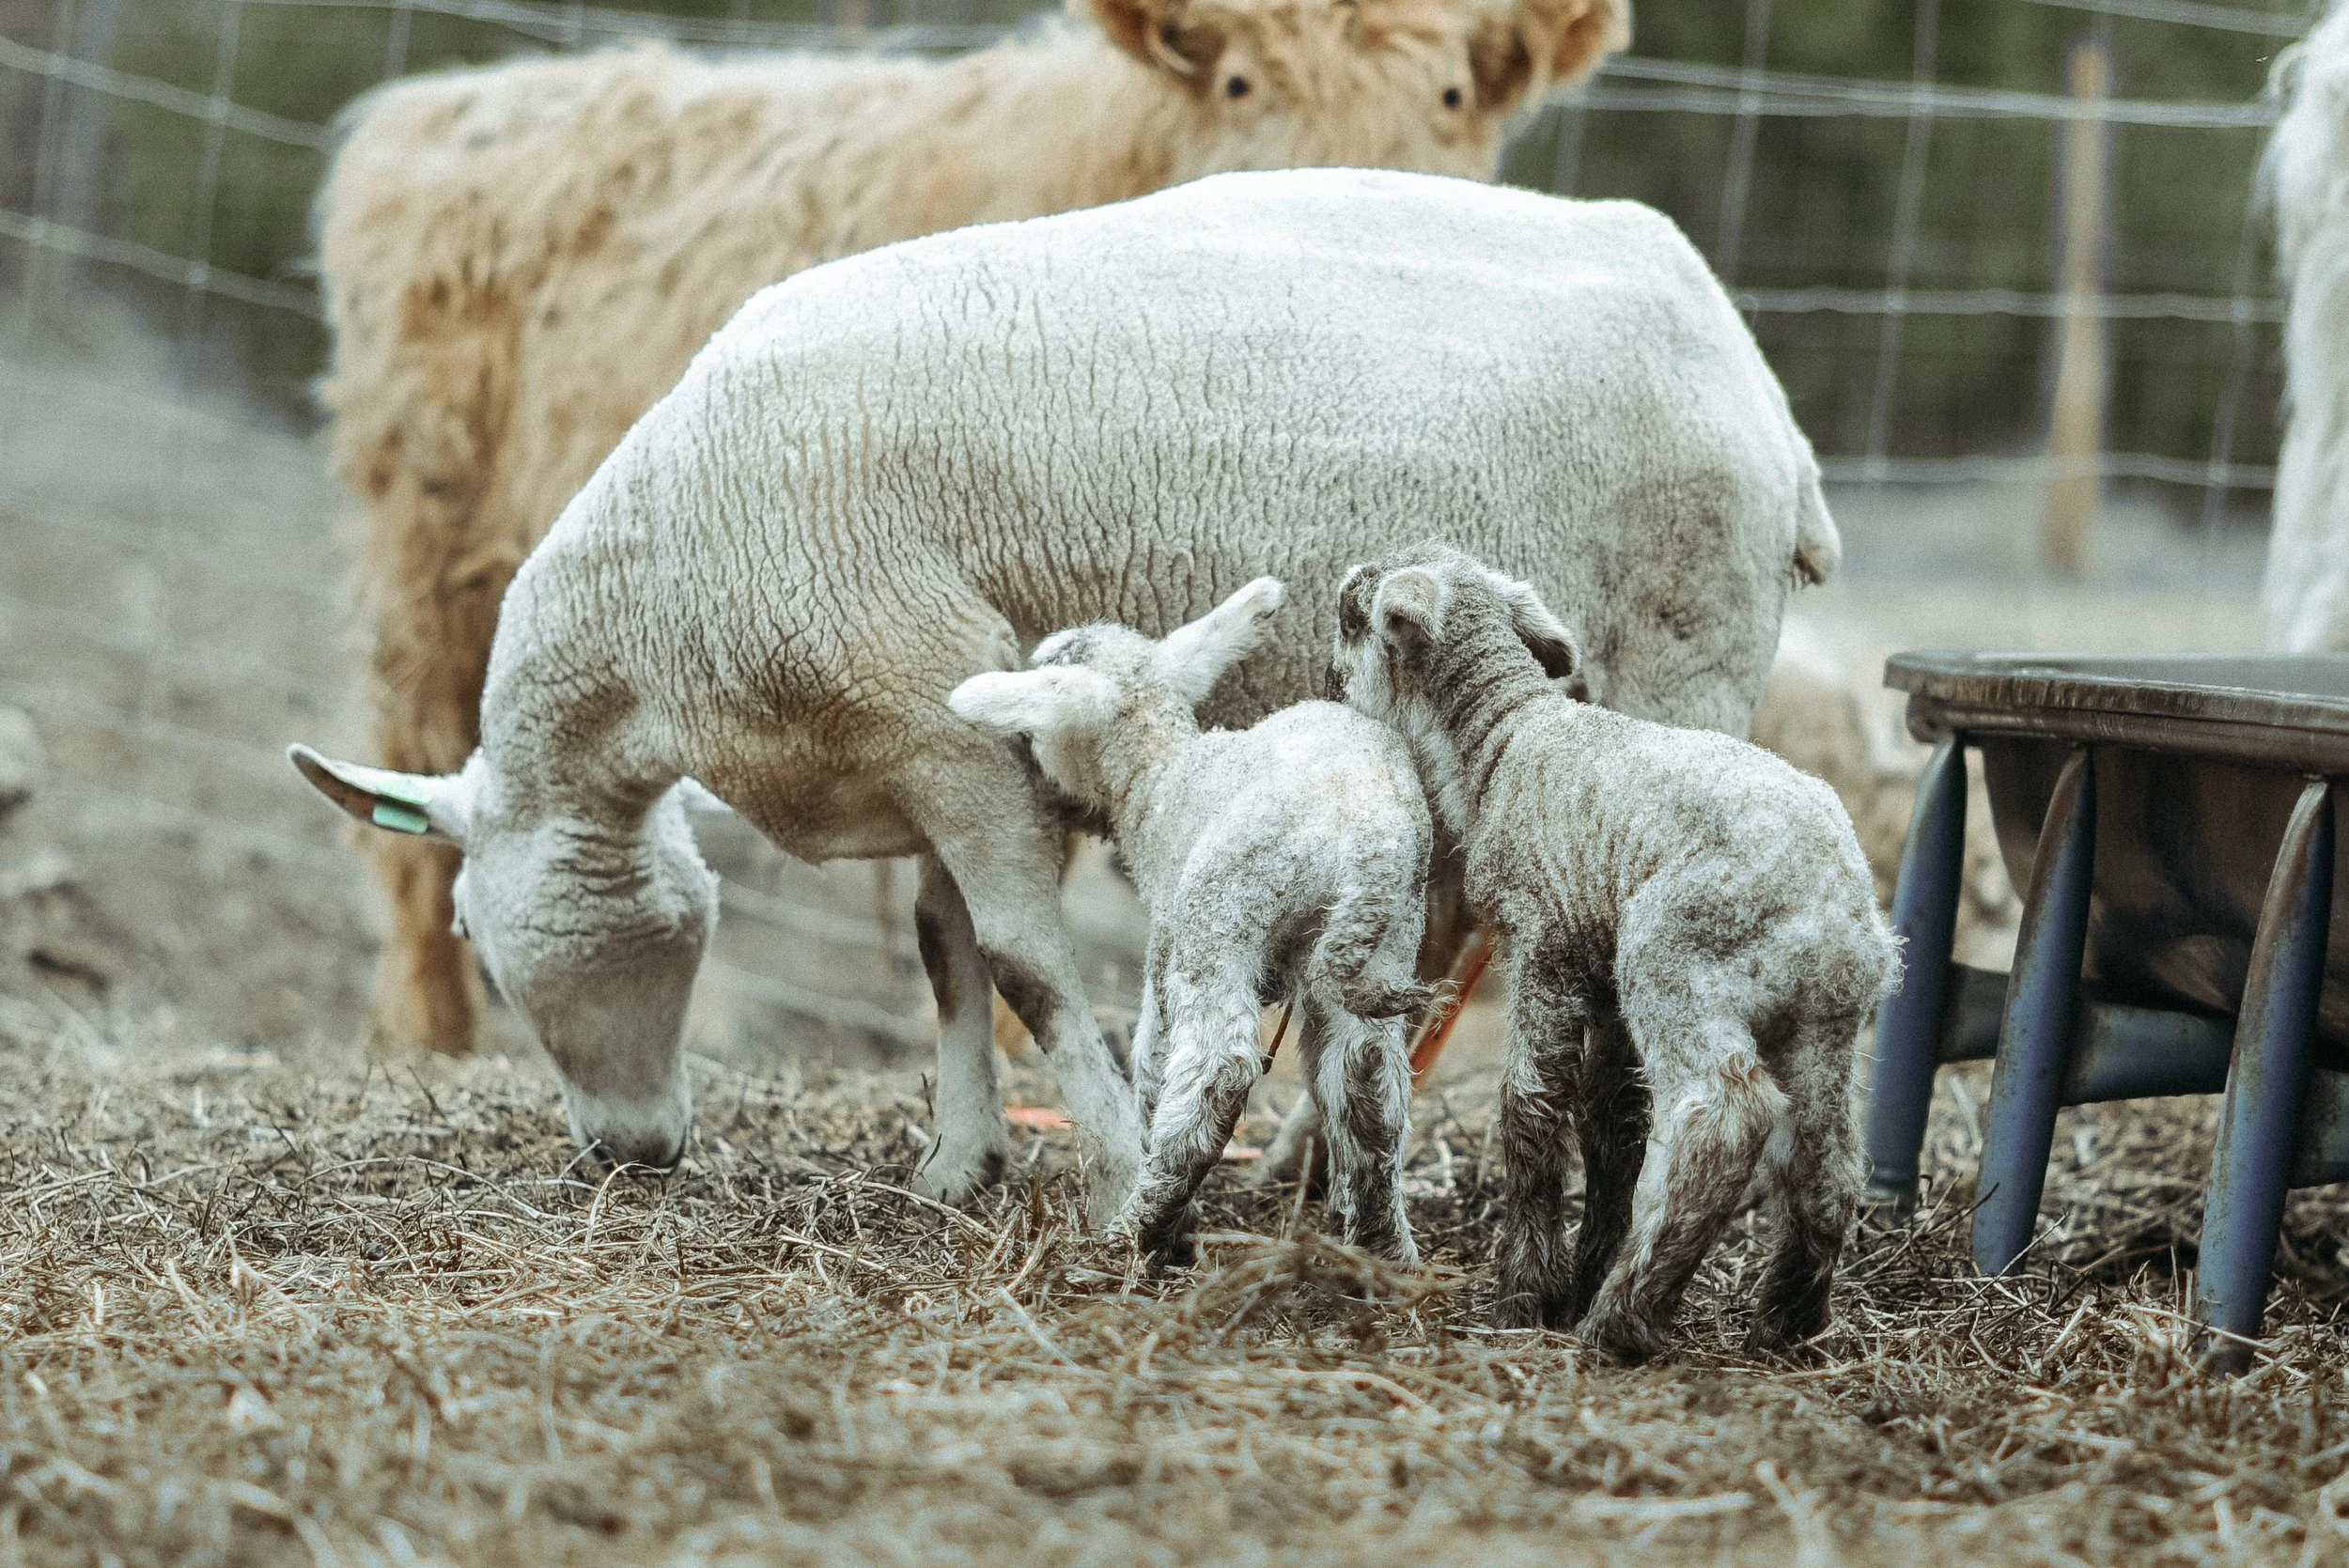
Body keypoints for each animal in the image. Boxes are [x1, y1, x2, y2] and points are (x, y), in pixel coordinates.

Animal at [313, 0, 1631, 1059]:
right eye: (1240, 81)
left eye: (1453, 92)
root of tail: (449, 94)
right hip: (426, 554)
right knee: (421, 797)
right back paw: (431, 1033)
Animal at [950, 579, 1433, 1262]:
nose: (1039, 781)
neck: (1164, 779)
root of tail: (1367, 832)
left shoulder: (1167, 939)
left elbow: (1152, 1062)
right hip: (1387, 935)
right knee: (1368, 1080)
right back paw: (1380, 1247)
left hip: (1223, 912)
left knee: (1218, 1068)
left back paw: (1139, 1232)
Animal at [1327, 542, 1899, 1362]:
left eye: (1352, 614)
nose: (1329, 680)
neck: (1504, 735)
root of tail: (1834, 902)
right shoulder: (1600, 970)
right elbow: (1613, 1120)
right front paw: (1578, 1272)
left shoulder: (1545, 941)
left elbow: (1530, 1106)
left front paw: (1526, 1294)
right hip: (1822, 1022)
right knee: (1827, 1159)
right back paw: (1783, 1324)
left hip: (1676, 961)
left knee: (1722, 1119)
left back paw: (1621, 1321)